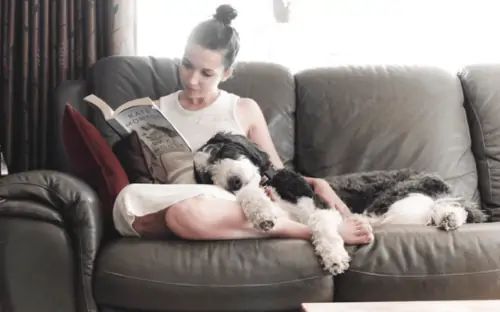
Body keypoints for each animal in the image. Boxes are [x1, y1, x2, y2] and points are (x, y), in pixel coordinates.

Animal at [192, 132, 488, 276]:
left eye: (225, 151)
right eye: (207, 175)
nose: (233, 182)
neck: (271, 189)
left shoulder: (320, 205)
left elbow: (319, 223)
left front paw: (334, 258)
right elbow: (252, 199)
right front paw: (262, 215)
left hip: (393, 198)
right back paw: (449, 218)